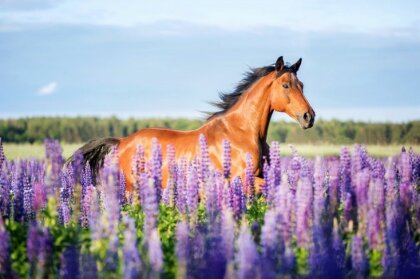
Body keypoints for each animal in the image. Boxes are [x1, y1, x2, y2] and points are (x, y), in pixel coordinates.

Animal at [74, 57, 316, 192]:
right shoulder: (242, 181)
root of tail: (122, 141)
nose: (309, 116)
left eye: (302, 85)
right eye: (286, 85)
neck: (242, 132)